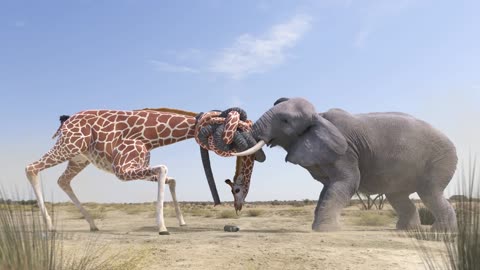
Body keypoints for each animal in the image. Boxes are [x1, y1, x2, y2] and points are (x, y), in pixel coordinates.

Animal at [25, 107, 258, 234]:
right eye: (238, 133)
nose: (240, 198)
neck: (151, 136)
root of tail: (65, 120)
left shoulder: (135, 166)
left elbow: (171, 179)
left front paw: (181, 222)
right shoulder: (121, 170)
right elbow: (164, 169)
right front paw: (162, 228)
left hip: (78, 158)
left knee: (63, 181)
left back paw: (92, 224)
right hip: (68, 147)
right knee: (31, 168)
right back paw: (50, 226)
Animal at [234, 97, 460, 232]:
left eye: (285, 121)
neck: (319, 117)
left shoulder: (346, 150)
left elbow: (348, 181)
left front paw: (324, 231)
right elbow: (328, 188)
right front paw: (318, 228)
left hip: (440, 160)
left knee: (429, 193)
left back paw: (441, 231)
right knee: (397, 196)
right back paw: (406, 230)